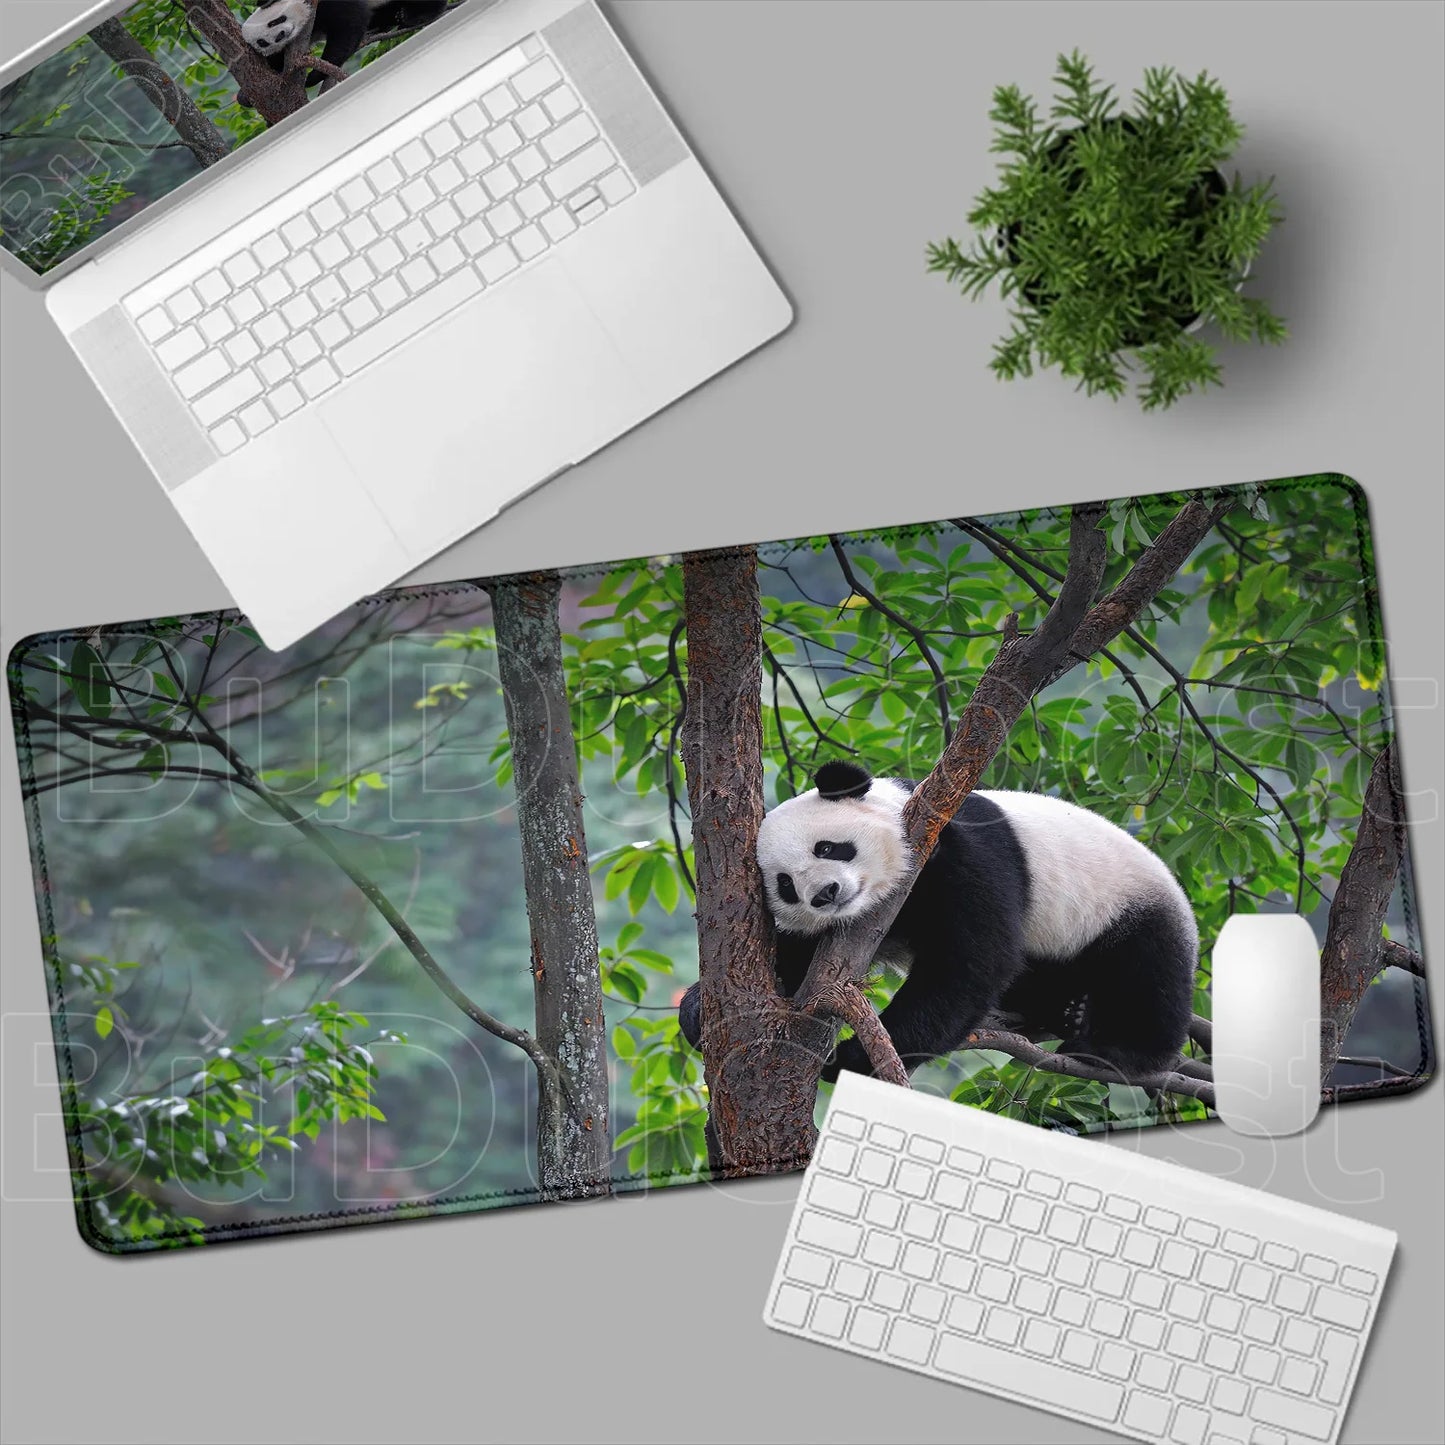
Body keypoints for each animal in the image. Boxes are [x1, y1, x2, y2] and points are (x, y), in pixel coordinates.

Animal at [240, 1, 450, 87]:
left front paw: (313, 77)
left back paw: (416, 16)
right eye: (262, 42)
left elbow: (348, 26)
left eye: (275, 21)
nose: (281, 35)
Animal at [679, 761, 1198, 1085]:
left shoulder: (957, 850)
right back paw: (1052, 1012)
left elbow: (969, 962)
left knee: (1147, 971)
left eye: (828, 847)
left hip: (1124, 903)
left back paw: (1114, 1048)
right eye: (785, 884)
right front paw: (699, 1010)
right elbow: (795, 966)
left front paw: (853, 1057)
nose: (824, 894)